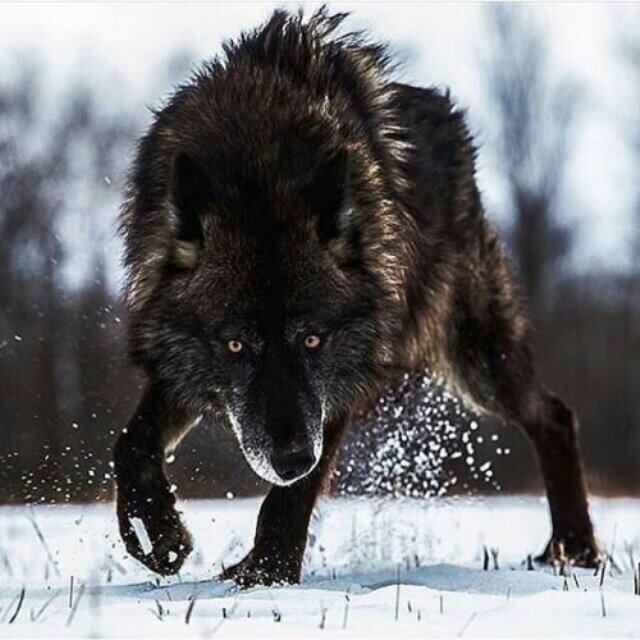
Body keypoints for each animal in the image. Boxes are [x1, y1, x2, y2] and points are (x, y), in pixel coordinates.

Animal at [113, 8, 599, 585]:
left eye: (313, 340)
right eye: (235, 346)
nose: (291, 459)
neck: (258, 163)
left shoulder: (344, 373)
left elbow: (292, 496)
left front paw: (267, 574)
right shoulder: (184, 365)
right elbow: (131, 444)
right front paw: (158, 537)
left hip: (478, 357)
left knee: (554, 416)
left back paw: (576, 547)